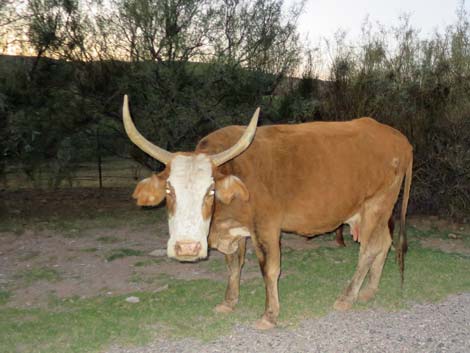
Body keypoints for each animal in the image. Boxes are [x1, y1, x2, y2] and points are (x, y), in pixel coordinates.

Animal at [124, 95, 412, 328]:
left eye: (210, 191)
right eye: (169, 190)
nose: (187, 248)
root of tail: (398, 138)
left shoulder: (266, 227)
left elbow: (270, 269)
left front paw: (269, 315)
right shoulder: (235, 231)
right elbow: (234, 265)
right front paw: (229, 302)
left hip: (376, 206)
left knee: (368, 250)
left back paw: (347, 296)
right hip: (375, 213)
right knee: (383, 243)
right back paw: (370, 290)